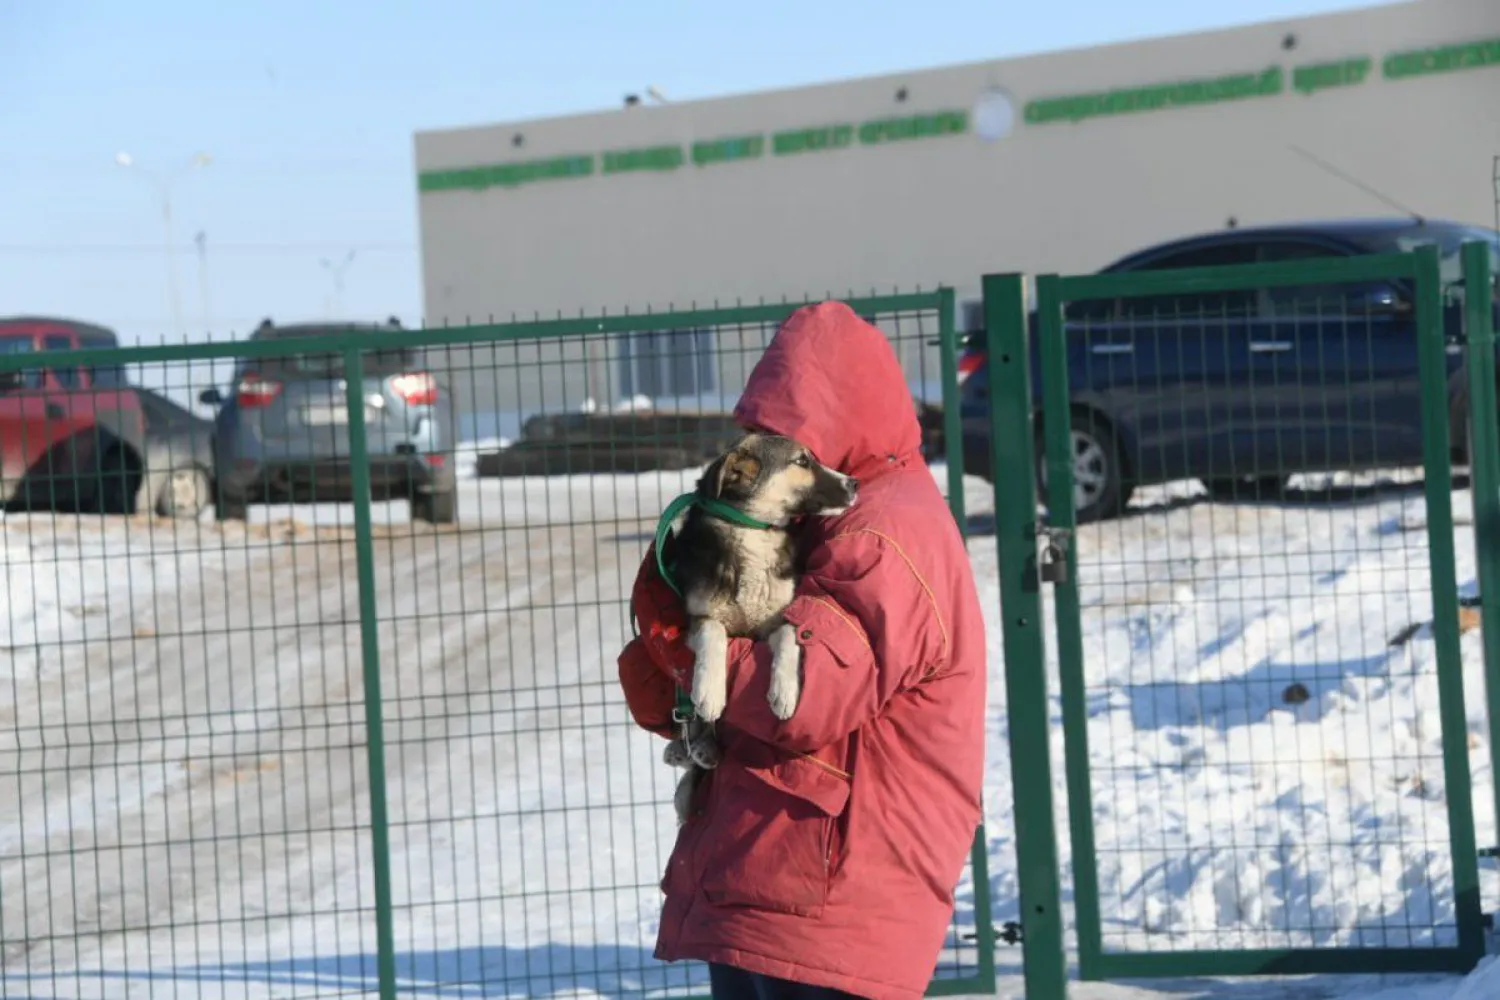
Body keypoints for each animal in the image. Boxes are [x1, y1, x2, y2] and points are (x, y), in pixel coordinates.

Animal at [657, 434, 858, 827]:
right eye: (802, 461)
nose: (854, 484)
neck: (752, 531)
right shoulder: (698, 618)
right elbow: (714, 635)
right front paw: (709, 691)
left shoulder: (779, 621)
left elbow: (790, 638)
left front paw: (784, 692)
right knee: (692, 728)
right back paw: (687, 747)